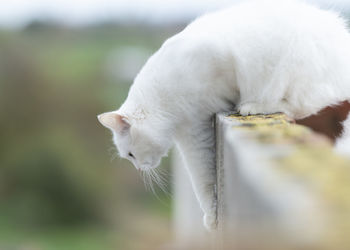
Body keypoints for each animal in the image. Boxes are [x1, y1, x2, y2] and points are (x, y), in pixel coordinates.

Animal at [97, 0, 350, 230]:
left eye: (130, 154)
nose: (139, 168)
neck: (162, 99)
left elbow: (201, 180)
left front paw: (210, 218)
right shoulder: (194, 133)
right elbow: (203, 180)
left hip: (291, 65)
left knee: (297, 104)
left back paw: (252, 106)